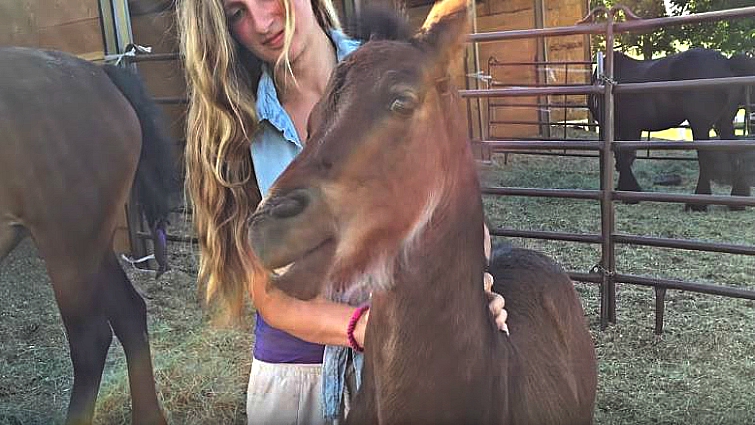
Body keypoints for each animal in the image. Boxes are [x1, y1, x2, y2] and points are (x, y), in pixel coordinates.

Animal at [588, 48, 755, 211]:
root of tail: (726, 63)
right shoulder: (631, 128)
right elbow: (627, 157)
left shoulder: (616, 127)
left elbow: (622, 157)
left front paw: (630, 192)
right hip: (724, 122)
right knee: (734, 153)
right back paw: (736, 201)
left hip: (700, 125)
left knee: (705, 158)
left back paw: (698, 203)